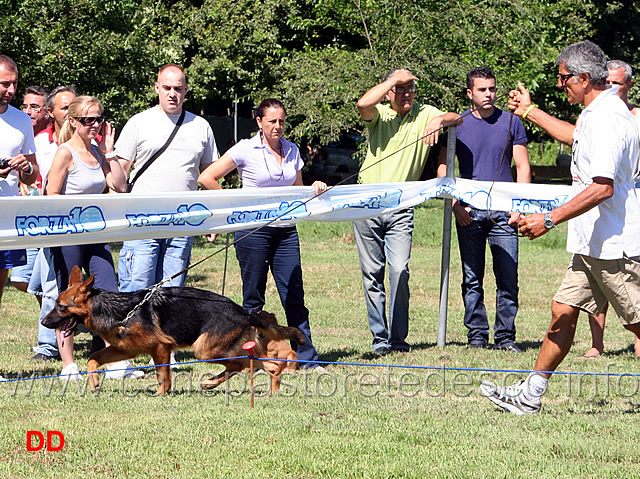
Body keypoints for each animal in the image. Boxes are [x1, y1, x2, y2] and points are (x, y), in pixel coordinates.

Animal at [42, 264, 304, 396]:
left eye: (61, 307)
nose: (44, 322)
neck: (121, 311)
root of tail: (242, 310)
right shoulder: (124, 350)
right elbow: (93, 359)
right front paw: (94, 383)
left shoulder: (160, 349)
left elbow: (162, 375)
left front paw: (161, 395)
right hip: (221, 349)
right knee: (265, 365)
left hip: (205, 350)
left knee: (243, 365)